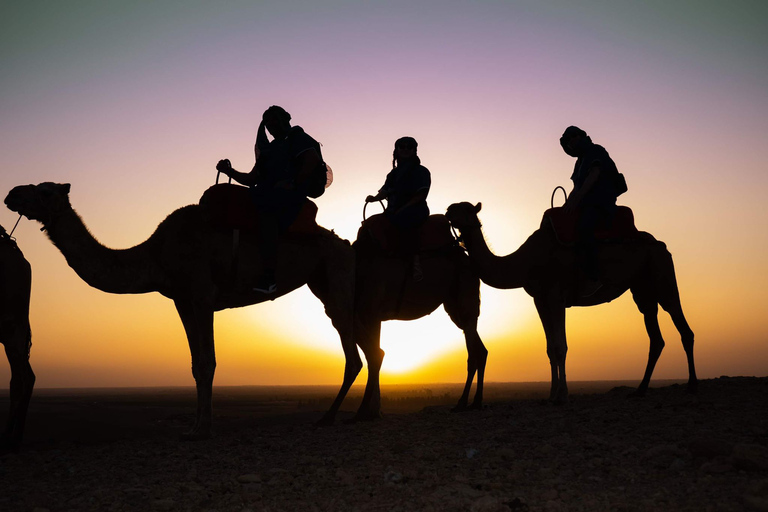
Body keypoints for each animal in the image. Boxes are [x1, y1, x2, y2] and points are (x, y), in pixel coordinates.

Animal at [4, 182, 362, 438]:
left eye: (45, 190)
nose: (11, 194)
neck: (156, 254)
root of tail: (345, 243)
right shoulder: (181, 300)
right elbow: (194, 364)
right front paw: (194, 426)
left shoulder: (202, 293)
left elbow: (207, 361)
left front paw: (203, 429)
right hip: (321, 281)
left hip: (336, 273)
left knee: (353, 347)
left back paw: (330, 417)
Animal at [352, 214, 486, 418]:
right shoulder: (369, 315)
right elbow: (374, 353)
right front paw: (372, 410)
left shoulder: (371, 311)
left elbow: (374, 354)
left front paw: (368, 411)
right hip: (454, 306)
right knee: (480, 348)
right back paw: (476, 402)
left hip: (465, 295)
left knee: (472, 353)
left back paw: (462, 403)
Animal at [444, 202, 696, 402]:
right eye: (454, 207)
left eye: (467, 209)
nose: (447, 210)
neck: (526, 261)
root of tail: (661, 244)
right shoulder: (539, 300)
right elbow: (549, 348)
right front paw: (551, 394)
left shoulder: (556, 296)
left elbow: (560, 346)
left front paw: (562, 395)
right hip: (642, 288)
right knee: (655, 335)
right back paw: (640, 390)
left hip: (662, 273)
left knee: (682, 325)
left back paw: (691, 385)